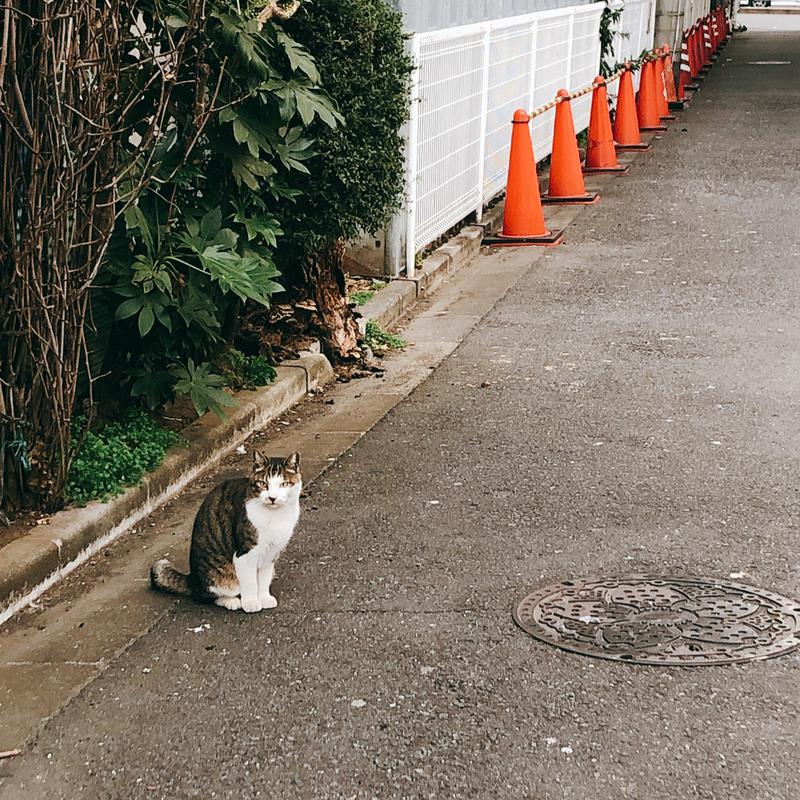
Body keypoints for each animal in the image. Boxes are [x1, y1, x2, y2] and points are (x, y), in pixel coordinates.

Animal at [148, 450, 302, 612]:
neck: (275, 515)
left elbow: (264, 579)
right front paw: (251, 603)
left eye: (284, 484)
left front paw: (264, 598)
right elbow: (250, 583)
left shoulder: (271, 553)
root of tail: (192, 579)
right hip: (218, 576)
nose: (272, 498)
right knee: (207, 595)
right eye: (263, 484)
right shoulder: (245, 553)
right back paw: (231, 601)